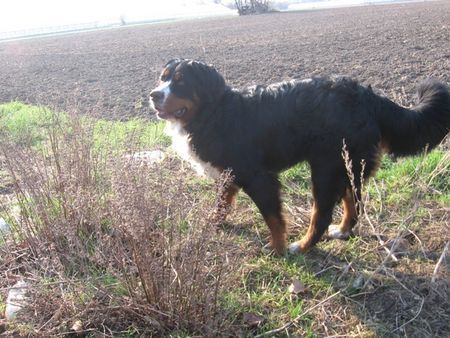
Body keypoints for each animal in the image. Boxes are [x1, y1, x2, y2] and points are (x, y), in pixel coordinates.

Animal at [150, 58, 450, 254]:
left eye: (181, 82)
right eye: (163, 78)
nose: (153, 95)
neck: (214, 113)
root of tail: (366, 95)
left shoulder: (258, 177)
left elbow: (273, 218)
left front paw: (278, 248)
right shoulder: (229, 173)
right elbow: (222, 203)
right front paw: (213, 223)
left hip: (326, 169)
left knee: (322, 215)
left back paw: (303, 246)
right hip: (345, 166)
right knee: (353, 202)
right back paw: (344, 230)